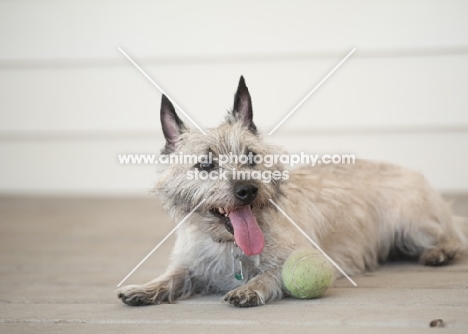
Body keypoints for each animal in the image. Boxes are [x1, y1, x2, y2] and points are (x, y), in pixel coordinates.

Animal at [118, 75, 468, 308]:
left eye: (251, 157)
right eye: (205, 164)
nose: (248, 189)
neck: (231, 247)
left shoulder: (305, 255)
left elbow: (274, 273)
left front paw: (251, 287)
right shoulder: (191, 264)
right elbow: (174, 275)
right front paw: (144, 288)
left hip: (413, 225)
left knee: (454, 236)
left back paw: (441, 251)